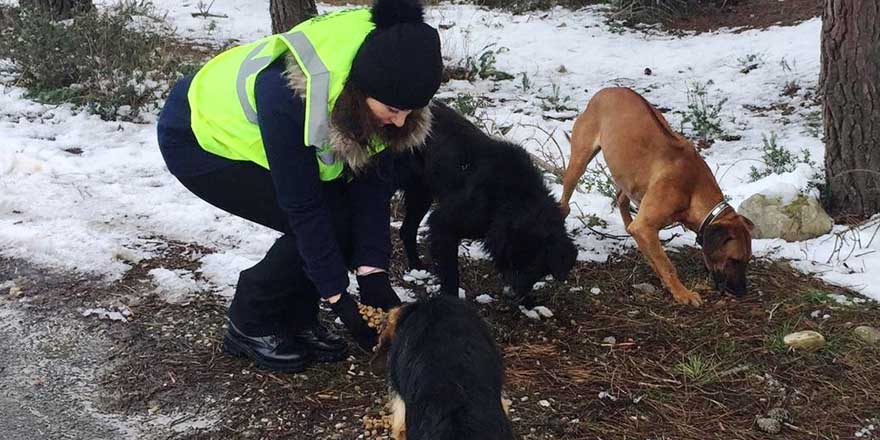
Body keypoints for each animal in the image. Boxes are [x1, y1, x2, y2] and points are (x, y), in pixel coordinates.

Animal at [394, 101, 576, 306]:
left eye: (533, 267)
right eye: (511, 260)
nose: (511, 295)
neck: (513, 197)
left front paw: (528, 301)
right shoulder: (443, 223)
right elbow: (451, 275)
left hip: (421, 194)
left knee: (407, 230)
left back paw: (417, 267)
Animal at [560, 86, 752, 306]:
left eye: (747, 261)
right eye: (734, 260)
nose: (742, 292)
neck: (694, 189)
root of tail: (606, 90)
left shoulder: (646, 228)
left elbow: (656, 256)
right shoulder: (645, 227)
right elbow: (667, 265)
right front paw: (683, 293)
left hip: (628, 173)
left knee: (621, 198)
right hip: (579, 161)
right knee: (566, 202)